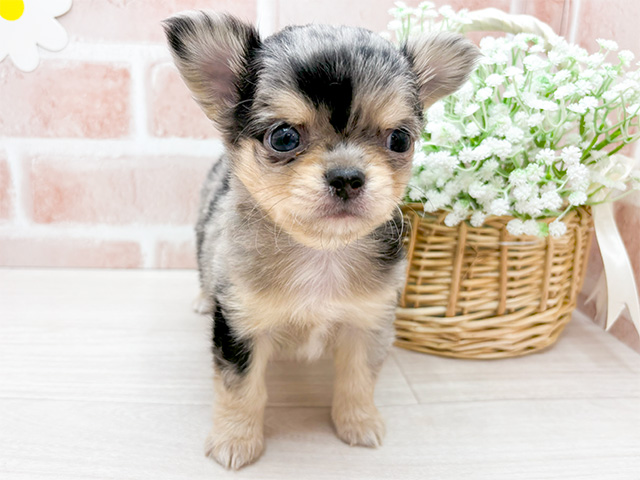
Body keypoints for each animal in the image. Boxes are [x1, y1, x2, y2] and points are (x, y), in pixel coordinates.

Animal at [162, 13, 478, 470]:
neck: (321, 253)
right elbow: (241, 390)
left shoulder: (368, 324)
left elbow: (358, 380)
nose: (347, 176)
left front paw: (358, 423)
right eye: (284, 138)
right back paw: (203, 300)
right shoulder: (240, 325)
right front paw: (235, 440)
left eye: (400, 139)